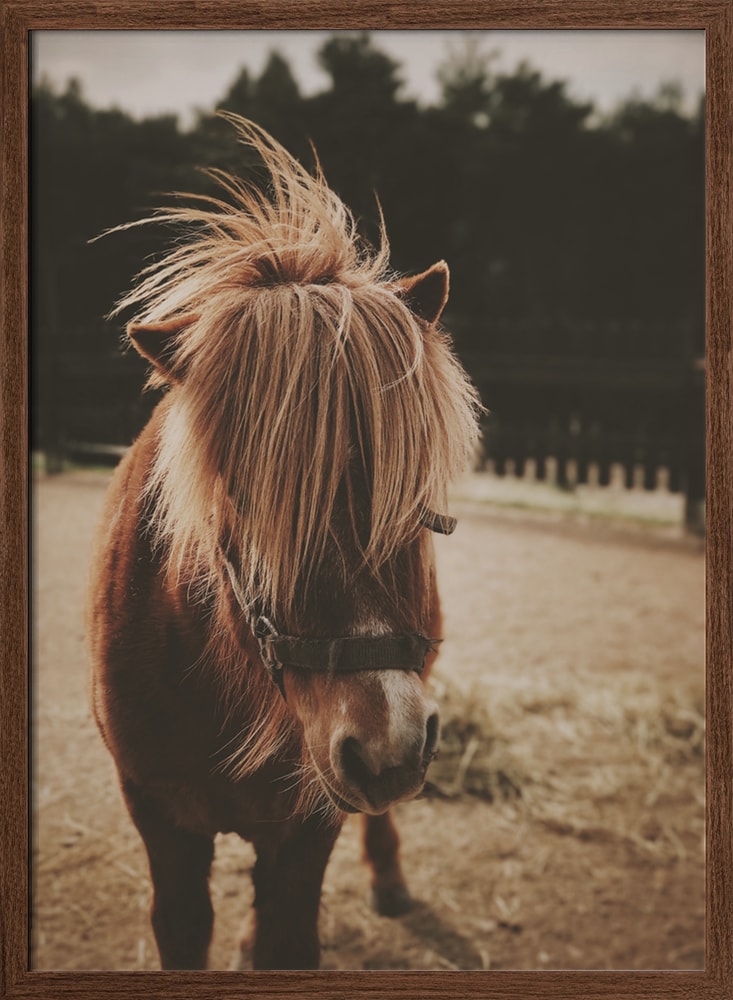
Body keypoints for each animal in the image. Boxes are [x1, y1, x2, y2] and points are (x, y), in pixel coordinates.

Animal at [86, 115, 481, 970]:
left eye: (411, 494)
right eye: (244, 499)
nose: (386, 746)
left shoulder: (309, 825)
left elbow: (287, 934)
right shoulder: (159, 820)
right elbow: (186, 928)